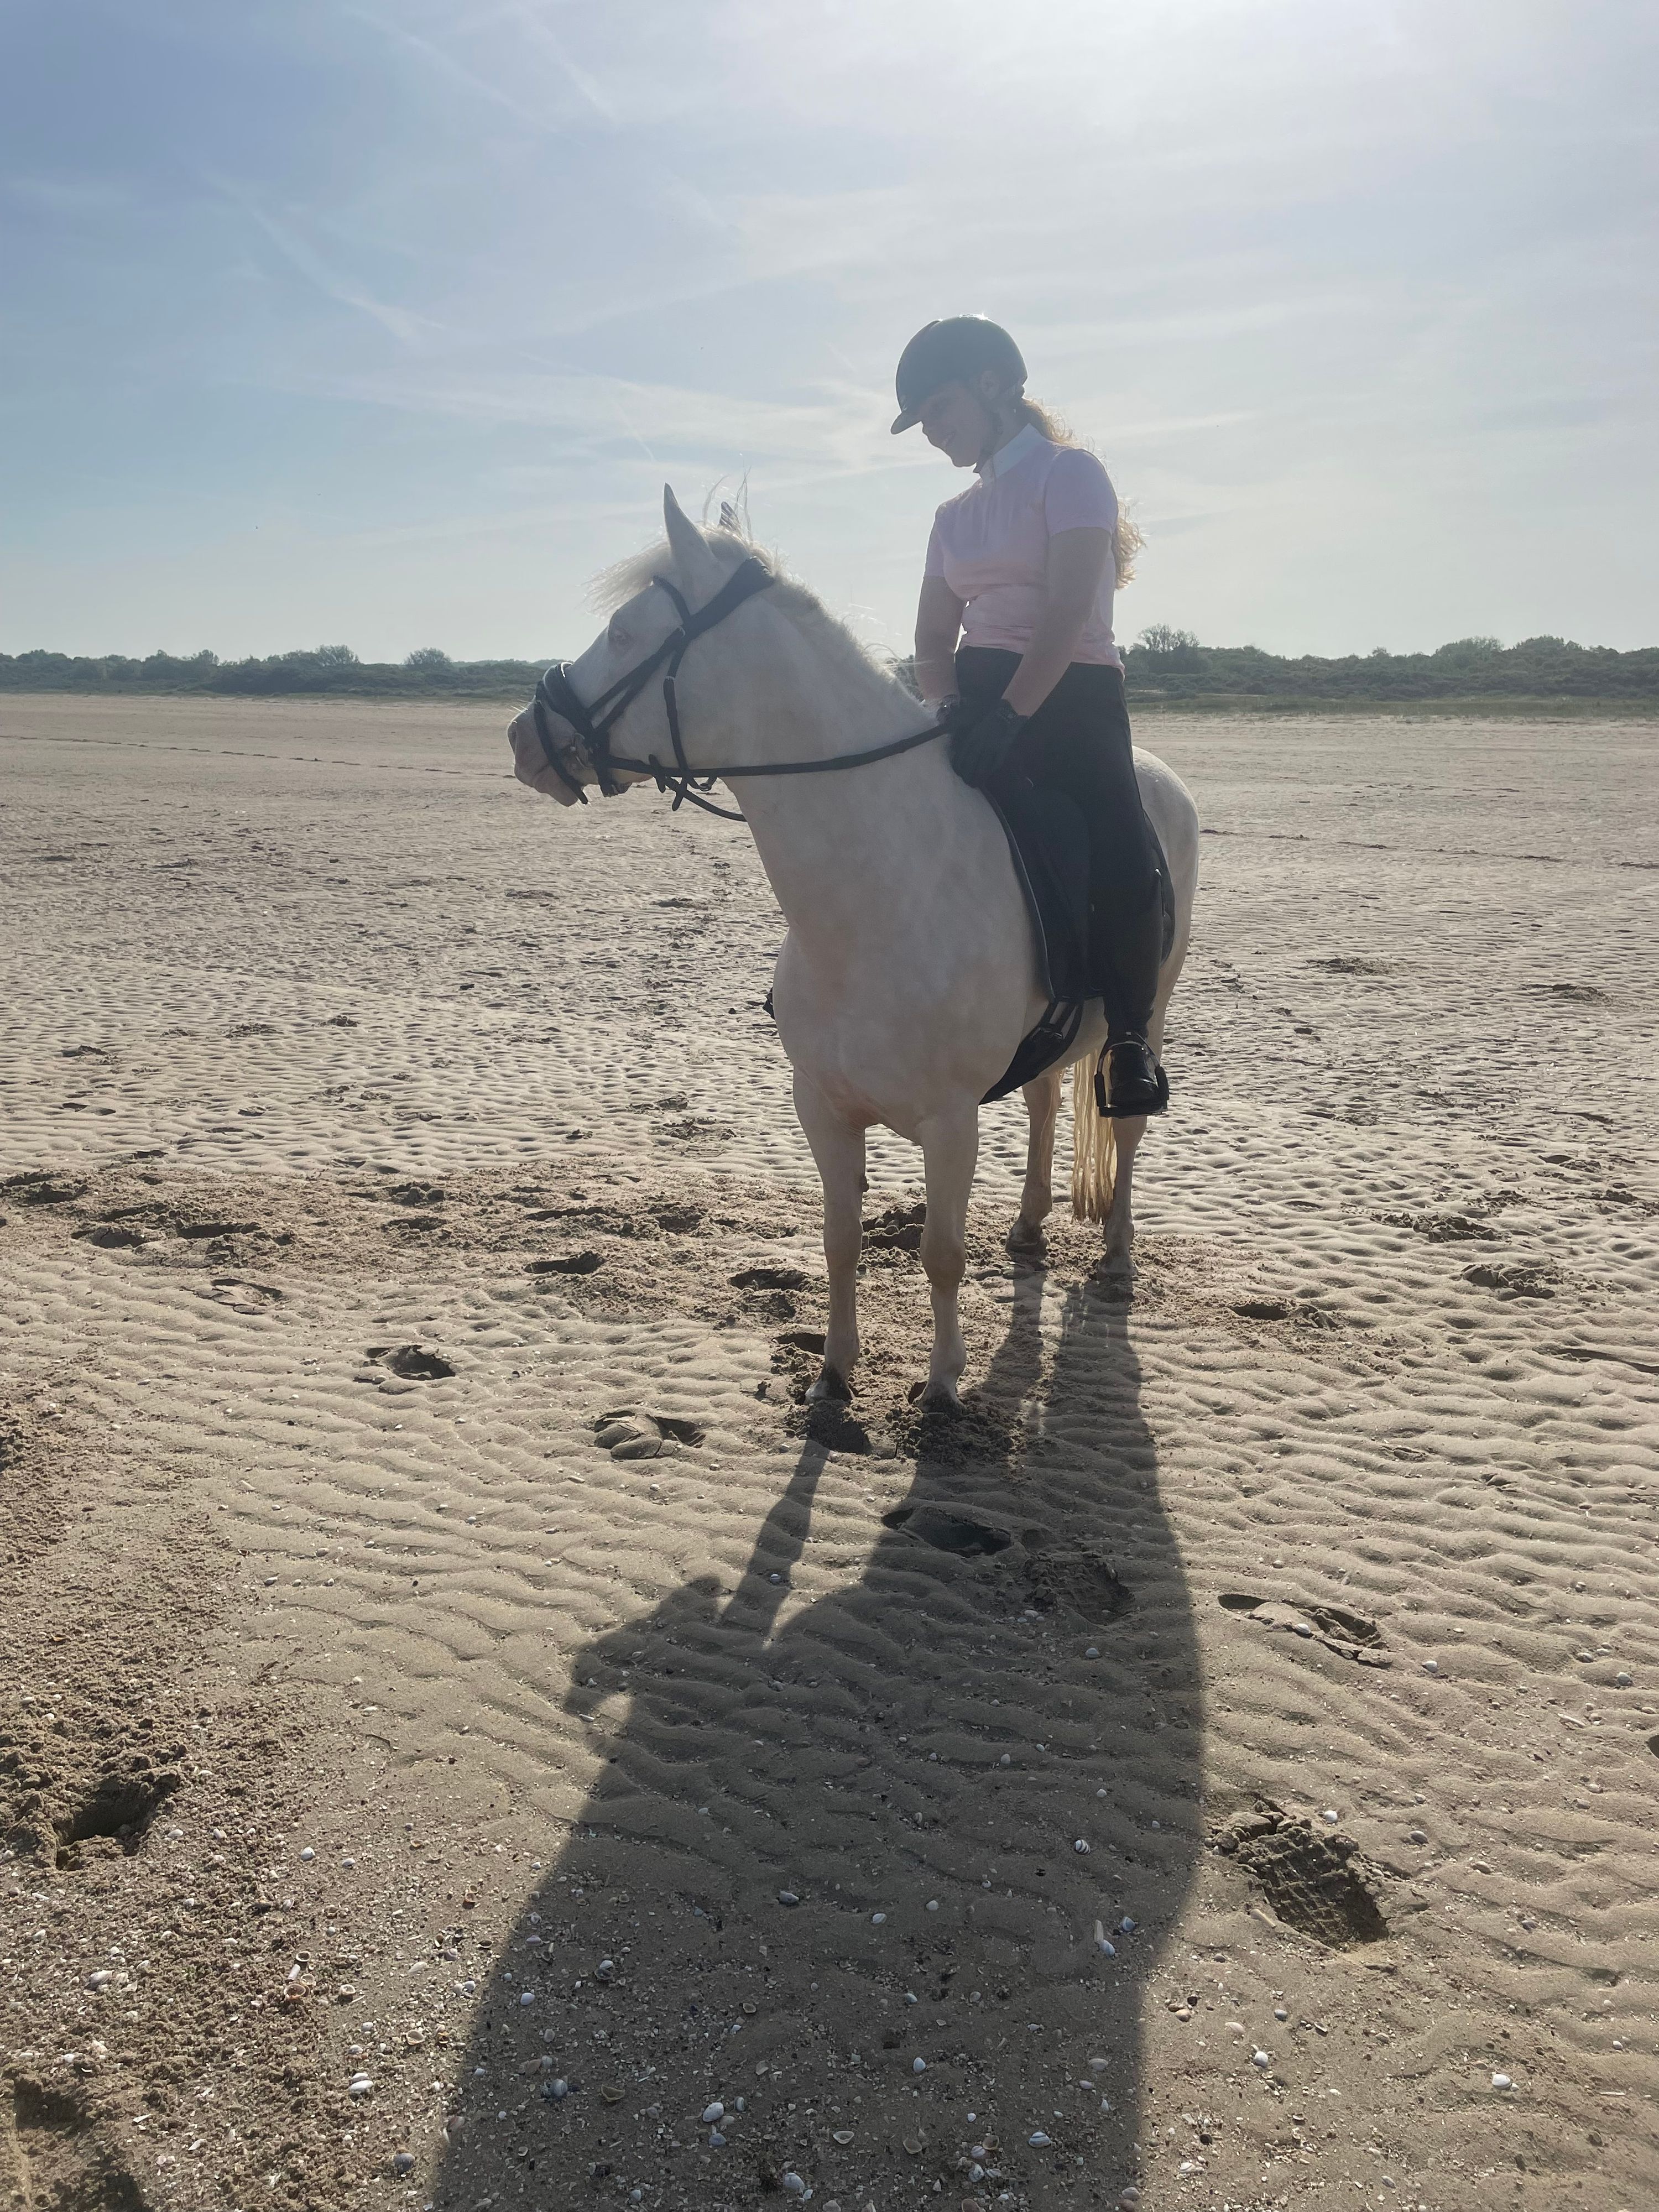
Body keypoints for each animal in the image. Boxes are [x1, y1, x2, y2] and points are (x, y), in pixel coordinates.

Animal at [507, 487, 1199, 1410]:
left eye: (623, 632)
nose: (522, 736)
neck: (880, 896)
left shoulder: (949, 1123)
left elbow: (941, 1253)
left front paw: (942, 1382)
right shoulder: (822, 1108)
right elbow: (840, 1237)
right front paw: (834, 1372)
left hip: (1148, 1016)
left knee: (1126, 1130)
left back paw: (1118, 1256)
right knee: (1047, 1102)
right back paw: (1027, 1225)